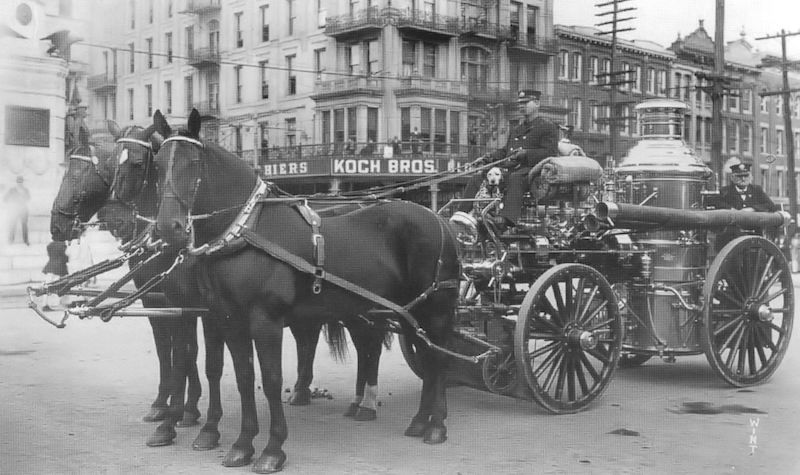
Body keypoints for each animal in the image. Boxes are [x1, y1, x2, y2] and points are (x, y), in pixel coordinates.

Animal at [151, 109, 460, 474]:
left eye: (194, 162)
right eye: (158, 164)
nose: (169, 227)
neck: (247, 231)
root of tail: (438, 218)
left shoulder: (265, 322)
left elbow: (270, 380)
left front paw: (272, 449)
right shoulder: (228, 319)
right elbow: (243, 377)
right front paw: (242, 444)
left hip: (435, 310)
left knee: (438, 360)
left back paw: (436, 425)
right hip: (406, 311)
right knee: (420, 356)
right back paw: (420, 420)